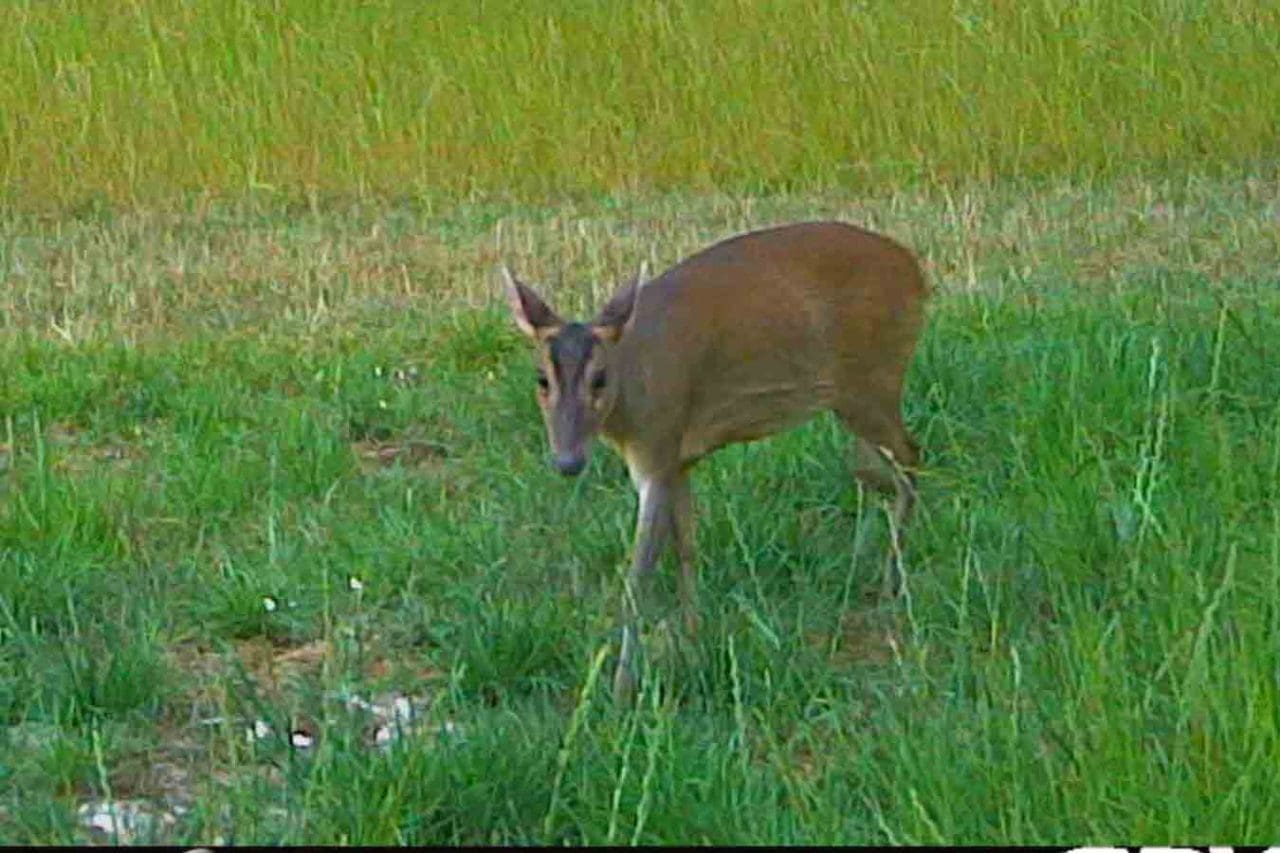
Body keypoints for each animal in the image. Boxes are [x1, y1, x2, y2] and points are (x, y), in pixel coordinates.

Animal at [503, 221, 928, 706]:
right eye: (541, 379)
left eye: (600, 378)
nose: (568, 462)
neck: (633, 397)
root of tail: (917, 272)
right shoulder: (679, 459)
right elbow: (687, 546)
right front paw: (692, 636)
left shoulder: (657, 449)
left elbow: (638, 574)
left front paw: (620, 688)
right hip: (855, 398)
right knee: (875, 466)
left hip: (872, 381)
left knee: (912, 457)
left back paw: (893, 582)